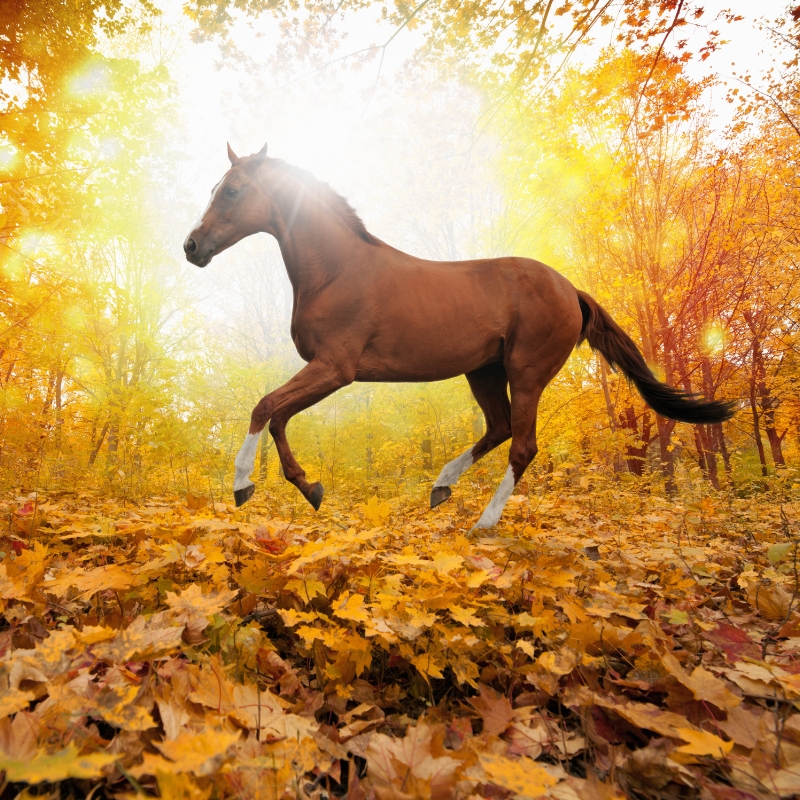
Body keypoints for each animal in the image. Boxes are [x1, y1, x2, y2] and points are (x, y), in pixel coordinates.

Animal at [184, 143, 735, 530]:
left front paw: (242, 485)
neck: (337, 271)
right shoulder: (326, 371)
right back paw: (441, 487)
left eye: (231, 190)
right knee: (499, 428)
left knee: (522, 446)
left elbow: (264, 407)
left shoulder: (335, 369)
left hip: (526, 373)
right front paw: (309, 487)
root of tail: (571, 290)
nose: (191, 246)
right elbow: (278, 416)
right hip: (483, 371)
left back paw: (482, 524)